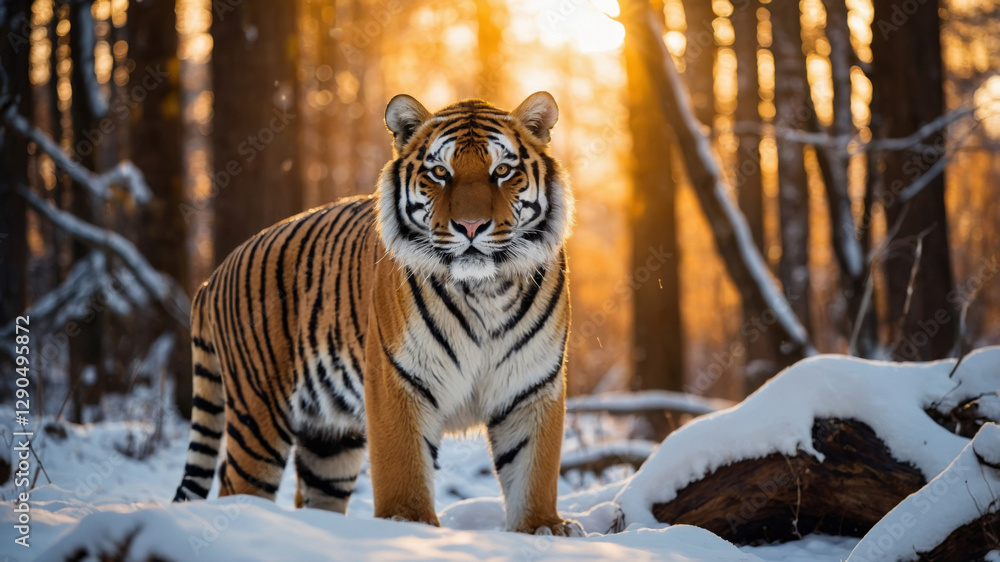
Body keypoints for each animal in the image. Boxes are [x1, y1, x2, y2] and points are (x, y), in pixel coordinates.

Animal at [173, 92, 581, 536]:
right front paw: (408, 522)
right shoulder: (397, 379)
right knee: (235, 489)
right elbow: (403, 464)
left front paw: (543, 528)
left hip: (329, 440)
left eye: (503, 170)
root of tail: (214, 276)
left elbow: (534, 468)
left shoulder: (532, 384)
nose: (470, 226)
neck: (484, 289)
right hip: (258, 417)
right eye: (440, 172)